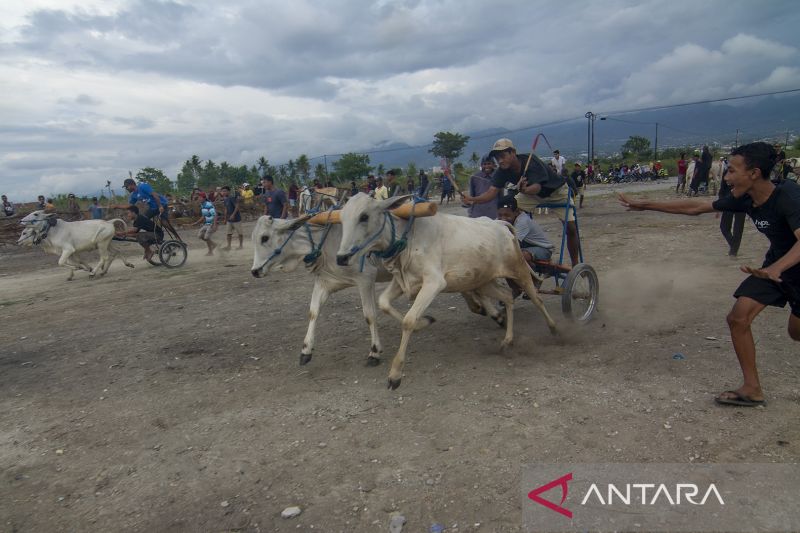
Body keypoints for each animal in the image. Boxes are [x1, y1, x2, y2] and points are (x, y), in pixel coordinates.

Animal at [250, 214, 506, 368]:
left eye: (265, 237)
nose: (254, 271)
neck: (325, 243)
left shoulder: (366, 279)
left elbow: (370, 315)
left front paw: (374, 352)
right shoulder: (324, 282)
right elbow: (313, 312)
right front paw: (306, 350)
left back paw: (495, 312)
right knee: (473, 288)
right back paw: (490, 311)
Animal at [336, 193, 556, 388]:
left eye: (364, 216)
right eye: (342, 218)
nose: (341, 257)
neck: (408, 238)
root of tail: (501, 224)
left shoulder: (434, 283)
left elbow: (408, 320)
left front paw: (395, 374)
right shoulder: (402, 282)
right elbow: (383, 303)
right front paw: (424, 322)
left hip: (519, 270)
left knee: (537, 299)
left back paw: (554, 329)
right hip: (483, 280)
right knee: (508, 297)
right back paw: (507, 339)